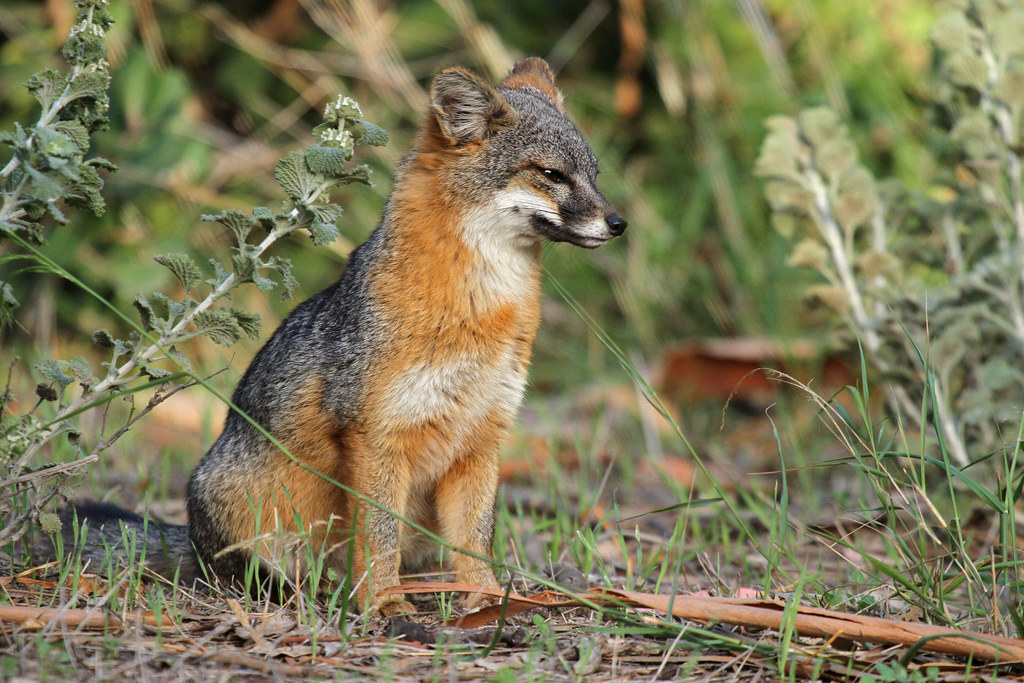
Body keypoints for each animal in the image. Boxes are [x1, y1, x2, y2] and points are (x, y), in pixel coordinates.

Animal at [61, 57, 630, 614]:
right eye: (552, 175)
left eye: (594, 176)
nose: (619, 222)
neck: (480, 312)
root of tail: (191, 534)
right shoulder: (375, 435)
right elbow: (378, 536)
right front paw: (384, 604)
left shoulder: (482, 440)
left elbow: (475, 539)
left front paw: (486, 600)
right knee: (249, 574)